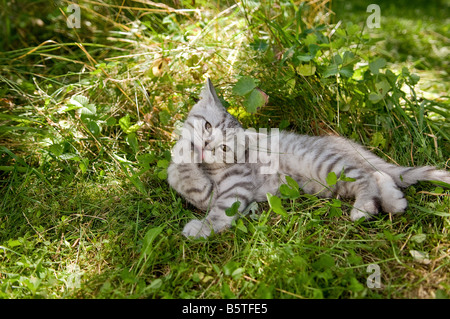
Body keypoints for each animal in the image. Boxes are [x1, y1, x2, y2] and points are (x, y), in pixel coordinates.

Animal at [167, 79, 448, 240]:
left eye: (224, 147)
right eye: (207, 125)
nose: (206, 145)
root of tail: (335, 141)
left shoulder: (235, 186)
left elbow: (218, 209)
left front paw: (201, 229)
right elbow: (178, 172)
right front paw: (185, 153)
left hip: (326, 166)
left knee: (366, 176)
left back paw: (364, 207)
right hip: (326, 183)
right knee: (378, 173)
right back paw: (394, 202)